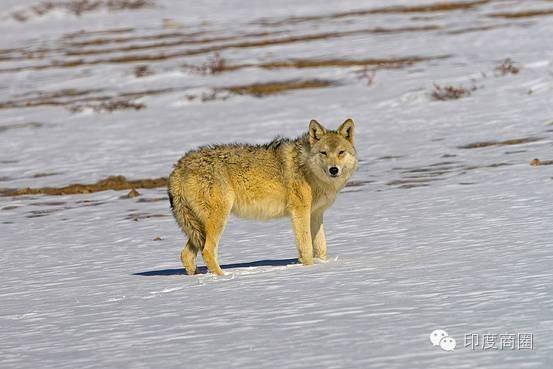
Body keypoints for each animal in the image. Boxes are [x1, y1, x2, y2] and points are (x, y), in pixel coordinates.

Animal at [168, 118, 358, 274]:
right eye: (323, 153)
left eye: (341, 152)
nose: (334, 170)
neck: (307, 169)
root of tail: (178, 166)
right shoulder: (300, 212)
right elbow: (306, 248)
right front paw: (309, 270)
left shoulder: (316, 214)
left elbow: (321, 248)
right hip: (218, 219)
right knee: (207, 251)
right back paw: (224, 279)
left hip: (198, 228)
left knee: (186, 254)